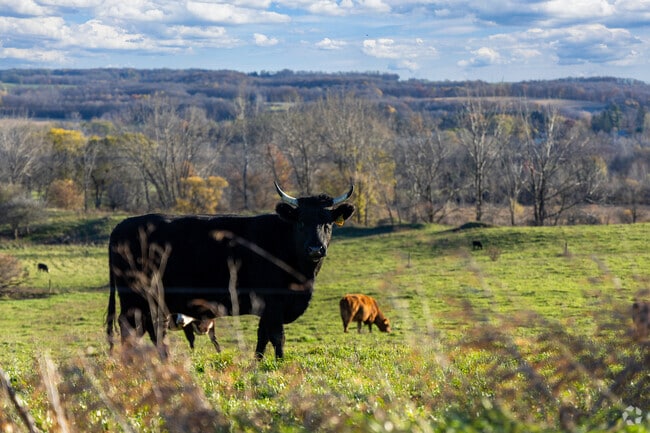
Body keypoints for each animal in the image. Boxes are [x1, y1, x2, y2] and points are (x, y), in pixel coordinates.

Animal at [106, 182, 355, 359]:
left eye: (327, 223)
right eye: (301, 222)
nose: (315, 248)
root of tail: (121, 226)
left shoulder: (267, 307)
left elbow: (262, 336)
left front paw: (258, 363)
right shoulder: (274, 302)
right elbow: (277, 337)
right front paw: (281, 363)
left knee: (148, 329)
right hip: (135, 297)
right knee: (131, 328)